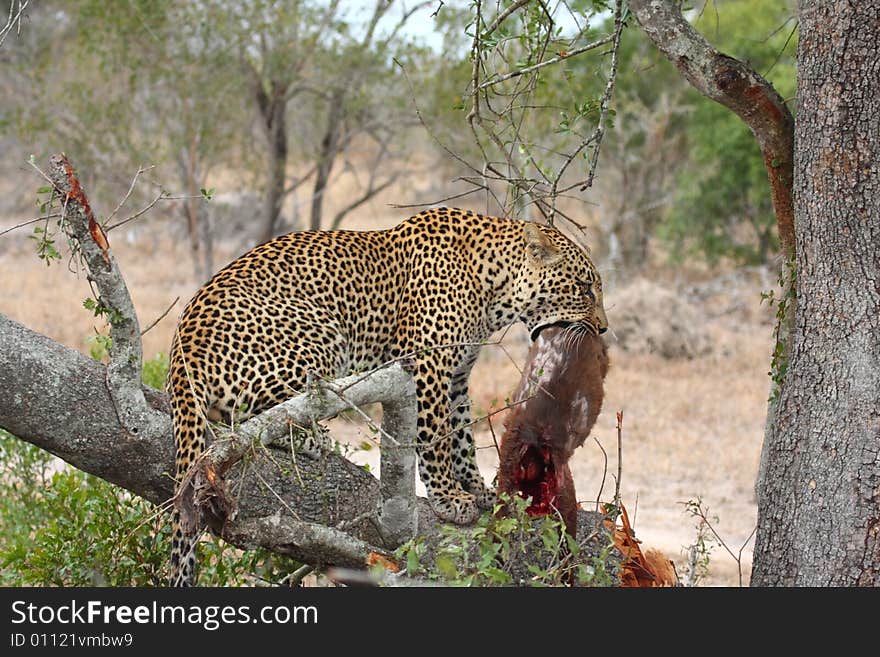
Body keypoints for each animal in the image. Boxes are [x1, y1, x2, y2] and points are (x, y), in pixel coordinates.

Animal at [167, 206, 604, 584]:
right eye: (584, 288)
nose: (602, 328)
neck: (494, 287)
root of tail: (182, 347)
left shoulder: (458, 376)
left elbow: (461, 436)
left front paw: (477, 489)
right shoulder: (428, 364)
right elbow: (435, 437)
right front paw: (448, 498)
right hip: (322, 333)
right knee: (248, 416)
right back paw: (310, 437)